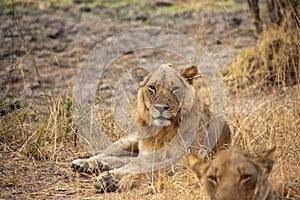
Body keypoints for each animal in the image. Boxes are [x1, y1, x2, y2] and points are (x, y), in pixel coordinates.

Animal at [71, 64, 231, 192]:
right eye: (152, 87)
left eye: (175, 89)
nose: (160, 107)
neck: (163, 132)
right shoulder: (147, 156)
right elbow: (136, 167)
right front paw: (109, 179)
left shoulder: (183, 164)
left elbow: (153, 171)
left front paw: (120, 180)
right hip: (129, 141)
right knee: (109, 154)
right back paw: (85, 163)